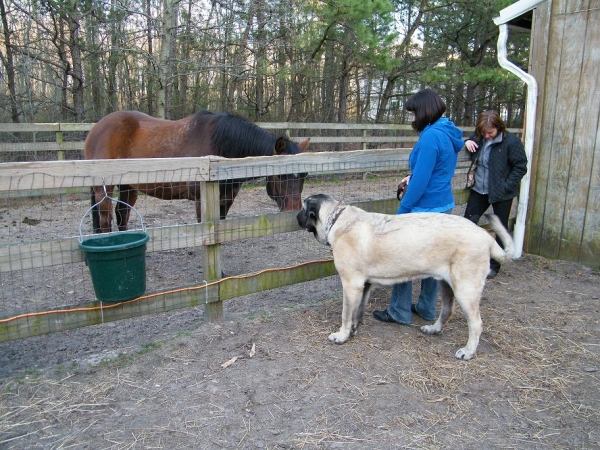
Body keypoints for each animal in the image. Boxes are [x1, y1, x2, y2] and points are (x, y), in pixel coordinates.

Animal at [83, 110, 310, 234]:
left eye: (304, 176)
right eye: (280, 175)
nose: (294, 211)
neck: (220, 147)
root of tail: (96, 129)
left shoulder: (225, 200)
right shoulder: (203, 201)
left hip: (129, 186)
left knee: (122, 215)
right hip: (103, 188)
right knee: (105, 220)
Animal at [296, 192, 516, 360]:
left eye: (303, 207)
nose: (296, 217)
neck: (337, 219)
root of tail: (486, 236)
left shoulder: (351, 284)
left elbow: (346, 314)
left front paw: (341, 335)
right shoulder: (364, 285)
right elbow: (358, 311)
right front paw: (353, 330)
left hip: (465, 289)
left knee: (476, 324)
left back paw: (468, 352)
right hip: (447, 284)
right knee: (447, 311)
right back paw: (433, 329)